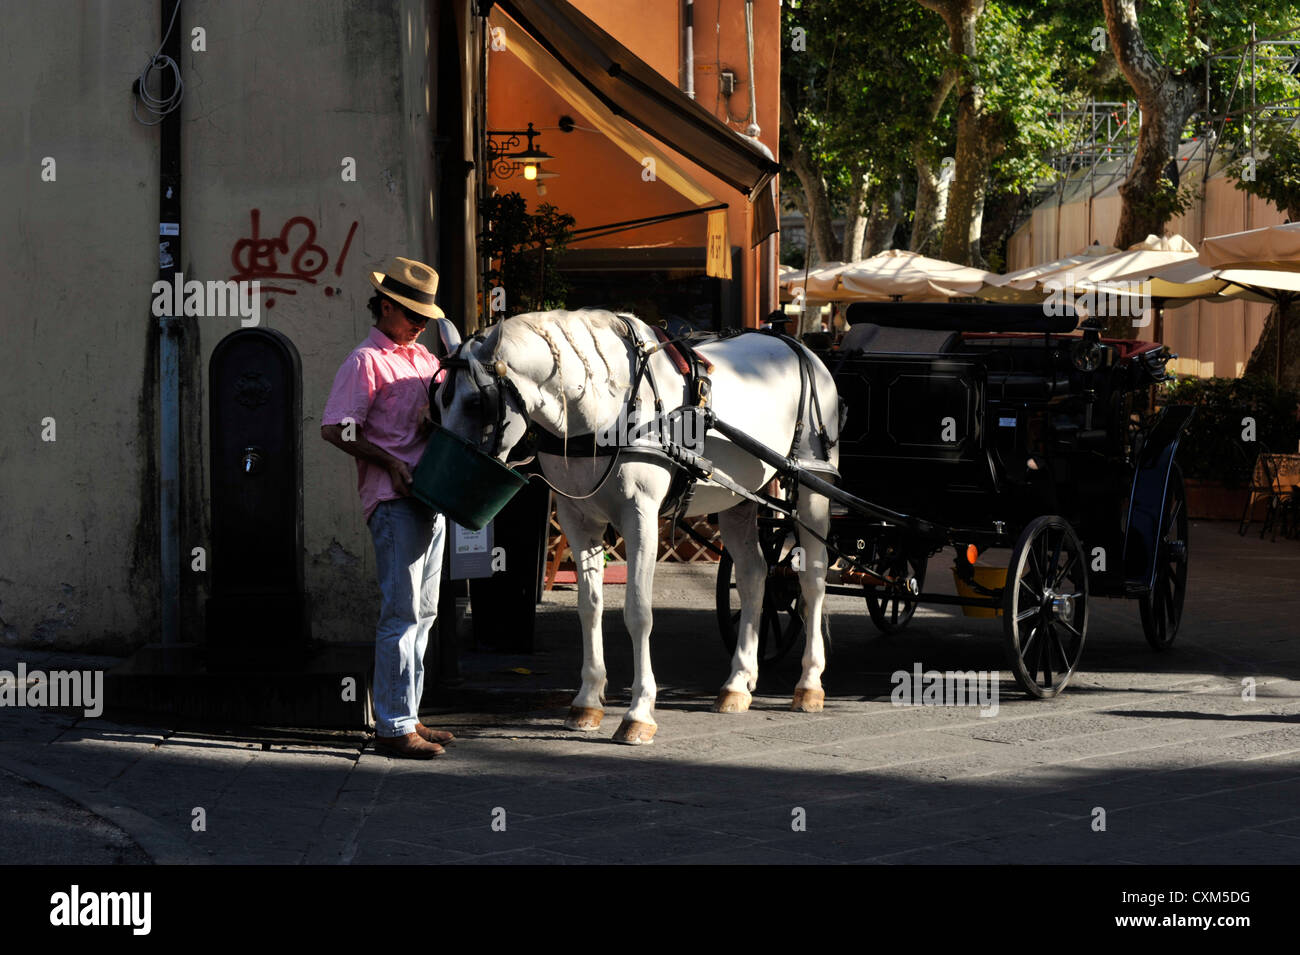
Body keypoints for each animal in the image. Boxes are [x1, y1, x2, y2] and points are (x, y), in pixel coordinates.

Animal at [436, 310, 842, 743]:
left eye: (476, 401)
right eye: (438, 398)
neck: (605, 407)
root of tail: (799, 347)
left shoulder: (641, 517)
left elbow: (638, 612)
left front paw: (638, 712)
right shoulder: (577, 519)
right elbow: (590, 606)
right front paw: (587, 701)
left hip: (815, 489)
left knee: (812, 580)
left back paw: (809, 684)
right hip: (740, 499)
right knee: (753, 576)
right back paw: (737, 683)